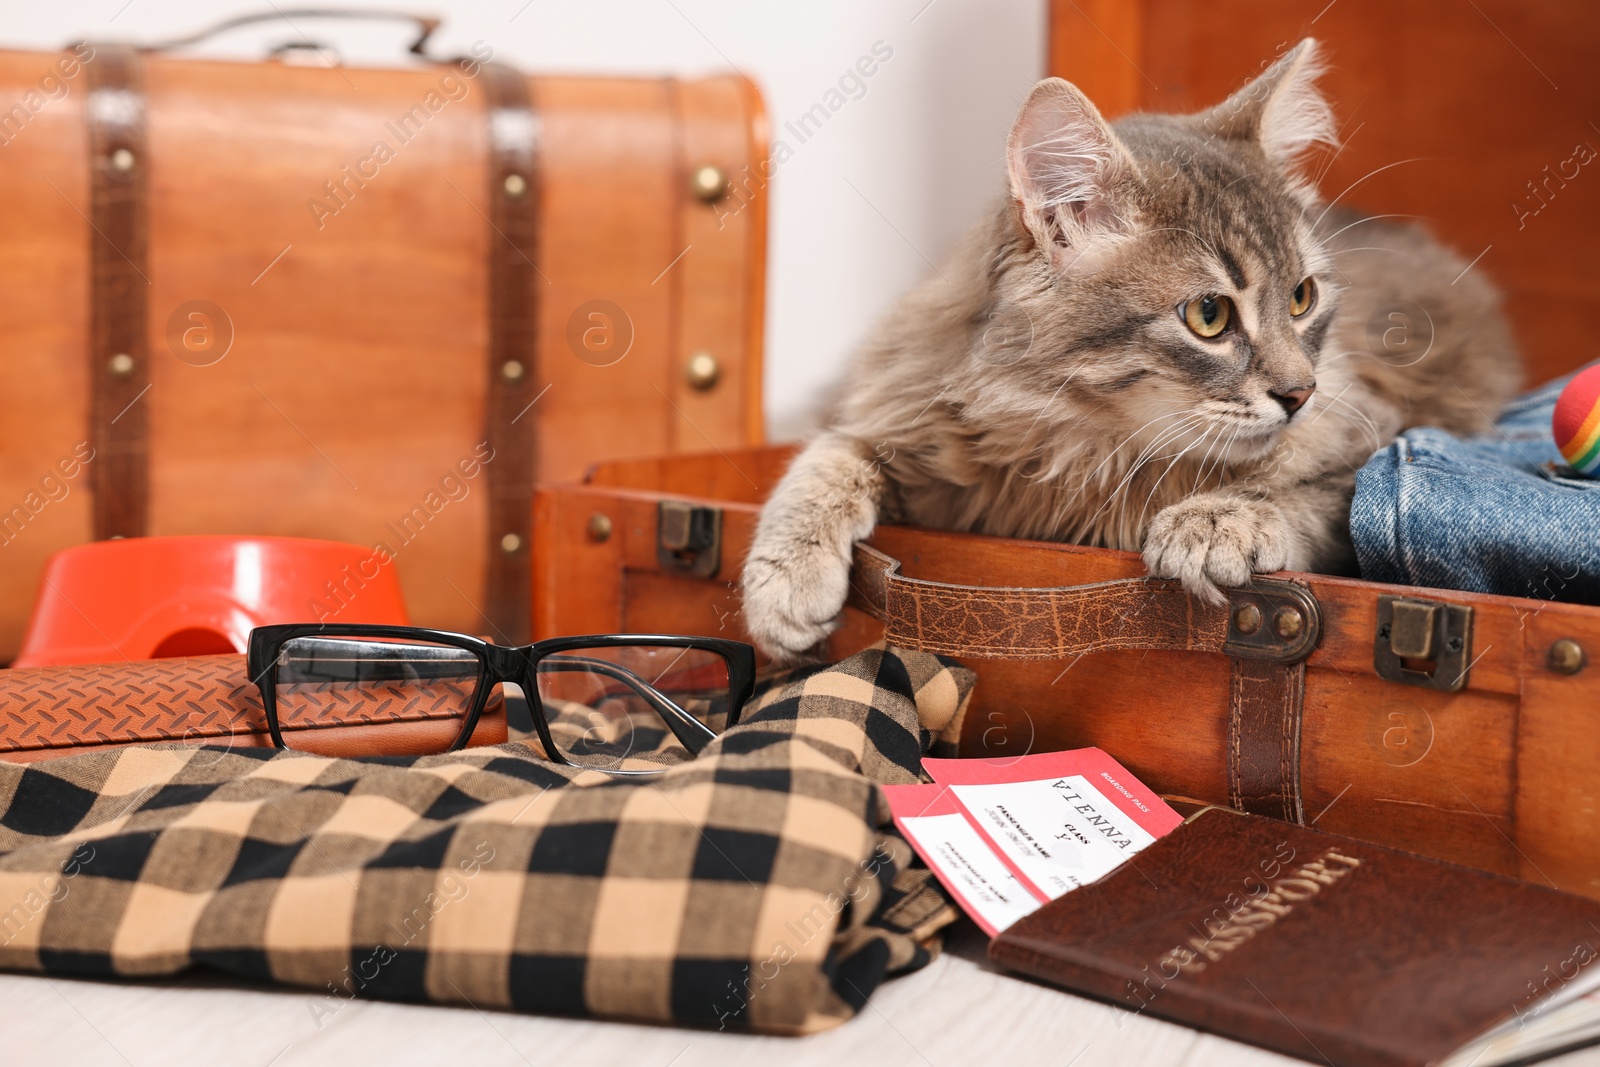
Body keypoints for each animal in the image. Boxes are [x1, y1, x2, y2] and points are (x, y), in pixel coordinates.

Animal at [742, 39, 1516, 659]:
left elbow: (1314, 492)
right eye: (1209, 315)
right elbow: (828, 456)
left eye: (1302, 297)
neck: (1083, 450)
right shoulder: (909, 413)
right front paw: (784, 580)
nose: (1301, 393)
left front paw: (1217, 518)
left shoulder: (1382, 439)